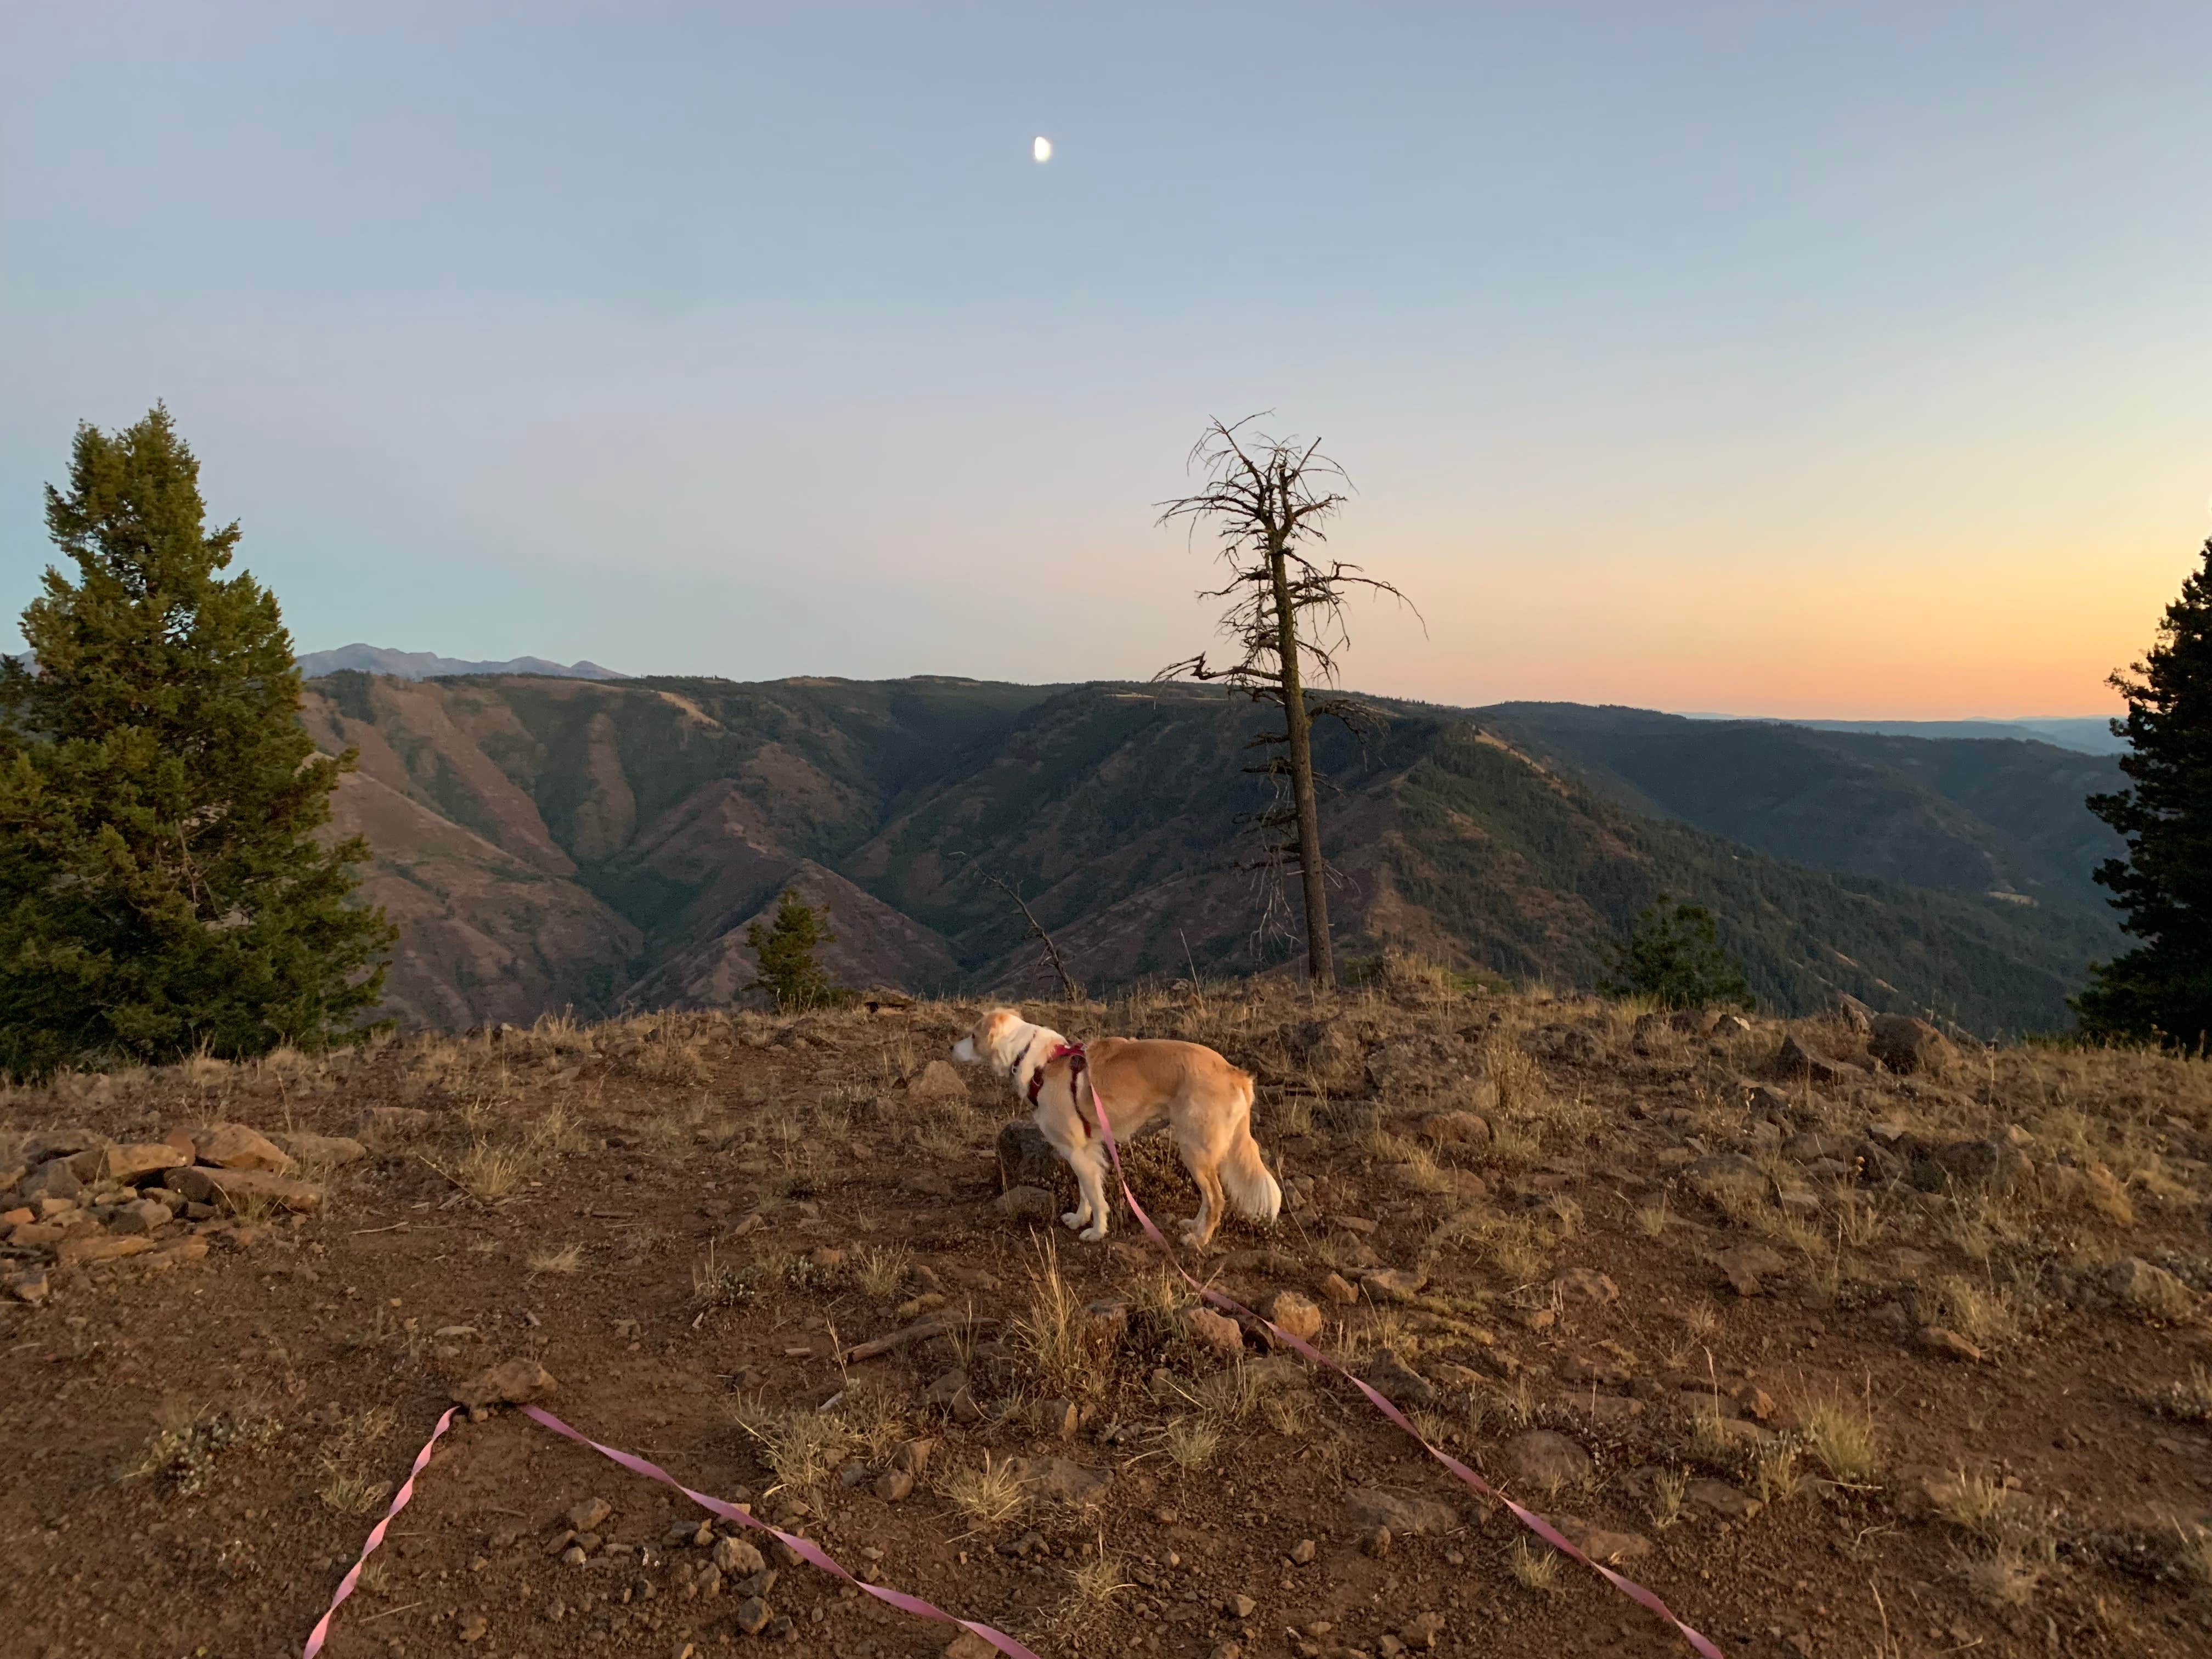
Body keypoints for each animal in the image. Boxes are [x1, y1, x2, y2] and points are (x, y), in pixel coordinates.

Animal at [946, 1008, 1283, 1256]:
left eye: (972, 1035)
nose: (950, 1048)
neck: (1035, 1059)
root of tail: (1236, 1074)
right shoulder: (1084, 1149)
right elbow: (1086, 1190)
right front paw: (1079, 1219)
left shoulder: (1076, 1149)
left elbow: (1096, 1197)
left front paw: (1097, 1232)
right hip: (1194, 1149)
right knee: (1208, 1197)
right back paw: (1194, 1226)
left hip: (1194, 1148)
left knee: (1217, 1199)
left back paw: (1200, 1240)